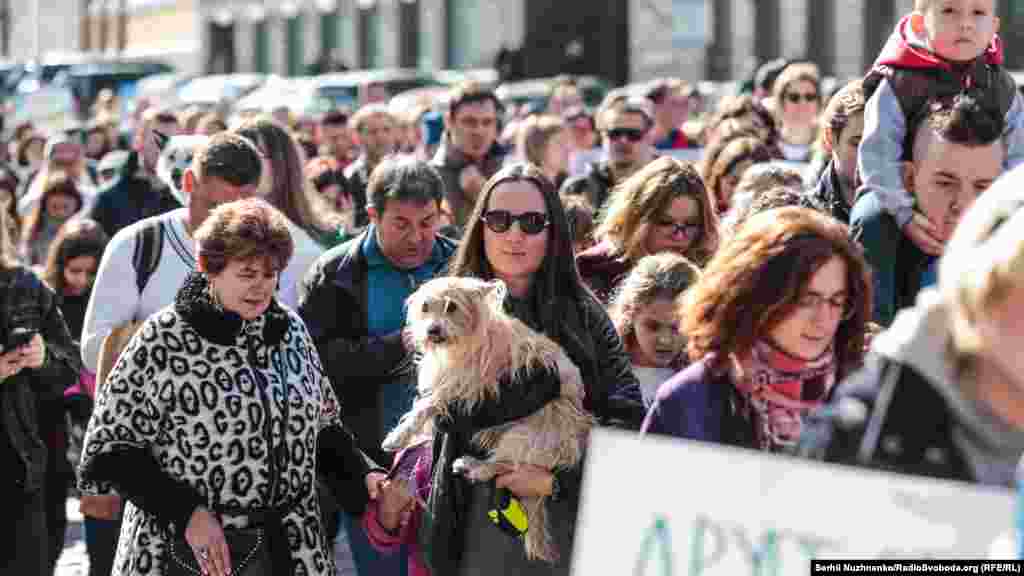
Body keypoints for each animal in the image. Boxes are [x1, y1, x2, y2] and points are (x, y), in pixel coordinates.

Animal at [382, 276, 593, 557]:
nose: (433, 330)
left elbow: (427, 405)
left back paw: (475, 466)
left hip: (528, 432)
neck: (459, 345)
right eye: (425, 307)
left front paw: (399, 436)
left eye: (451, 307)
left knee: (506, 465)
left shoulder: (463, 385)